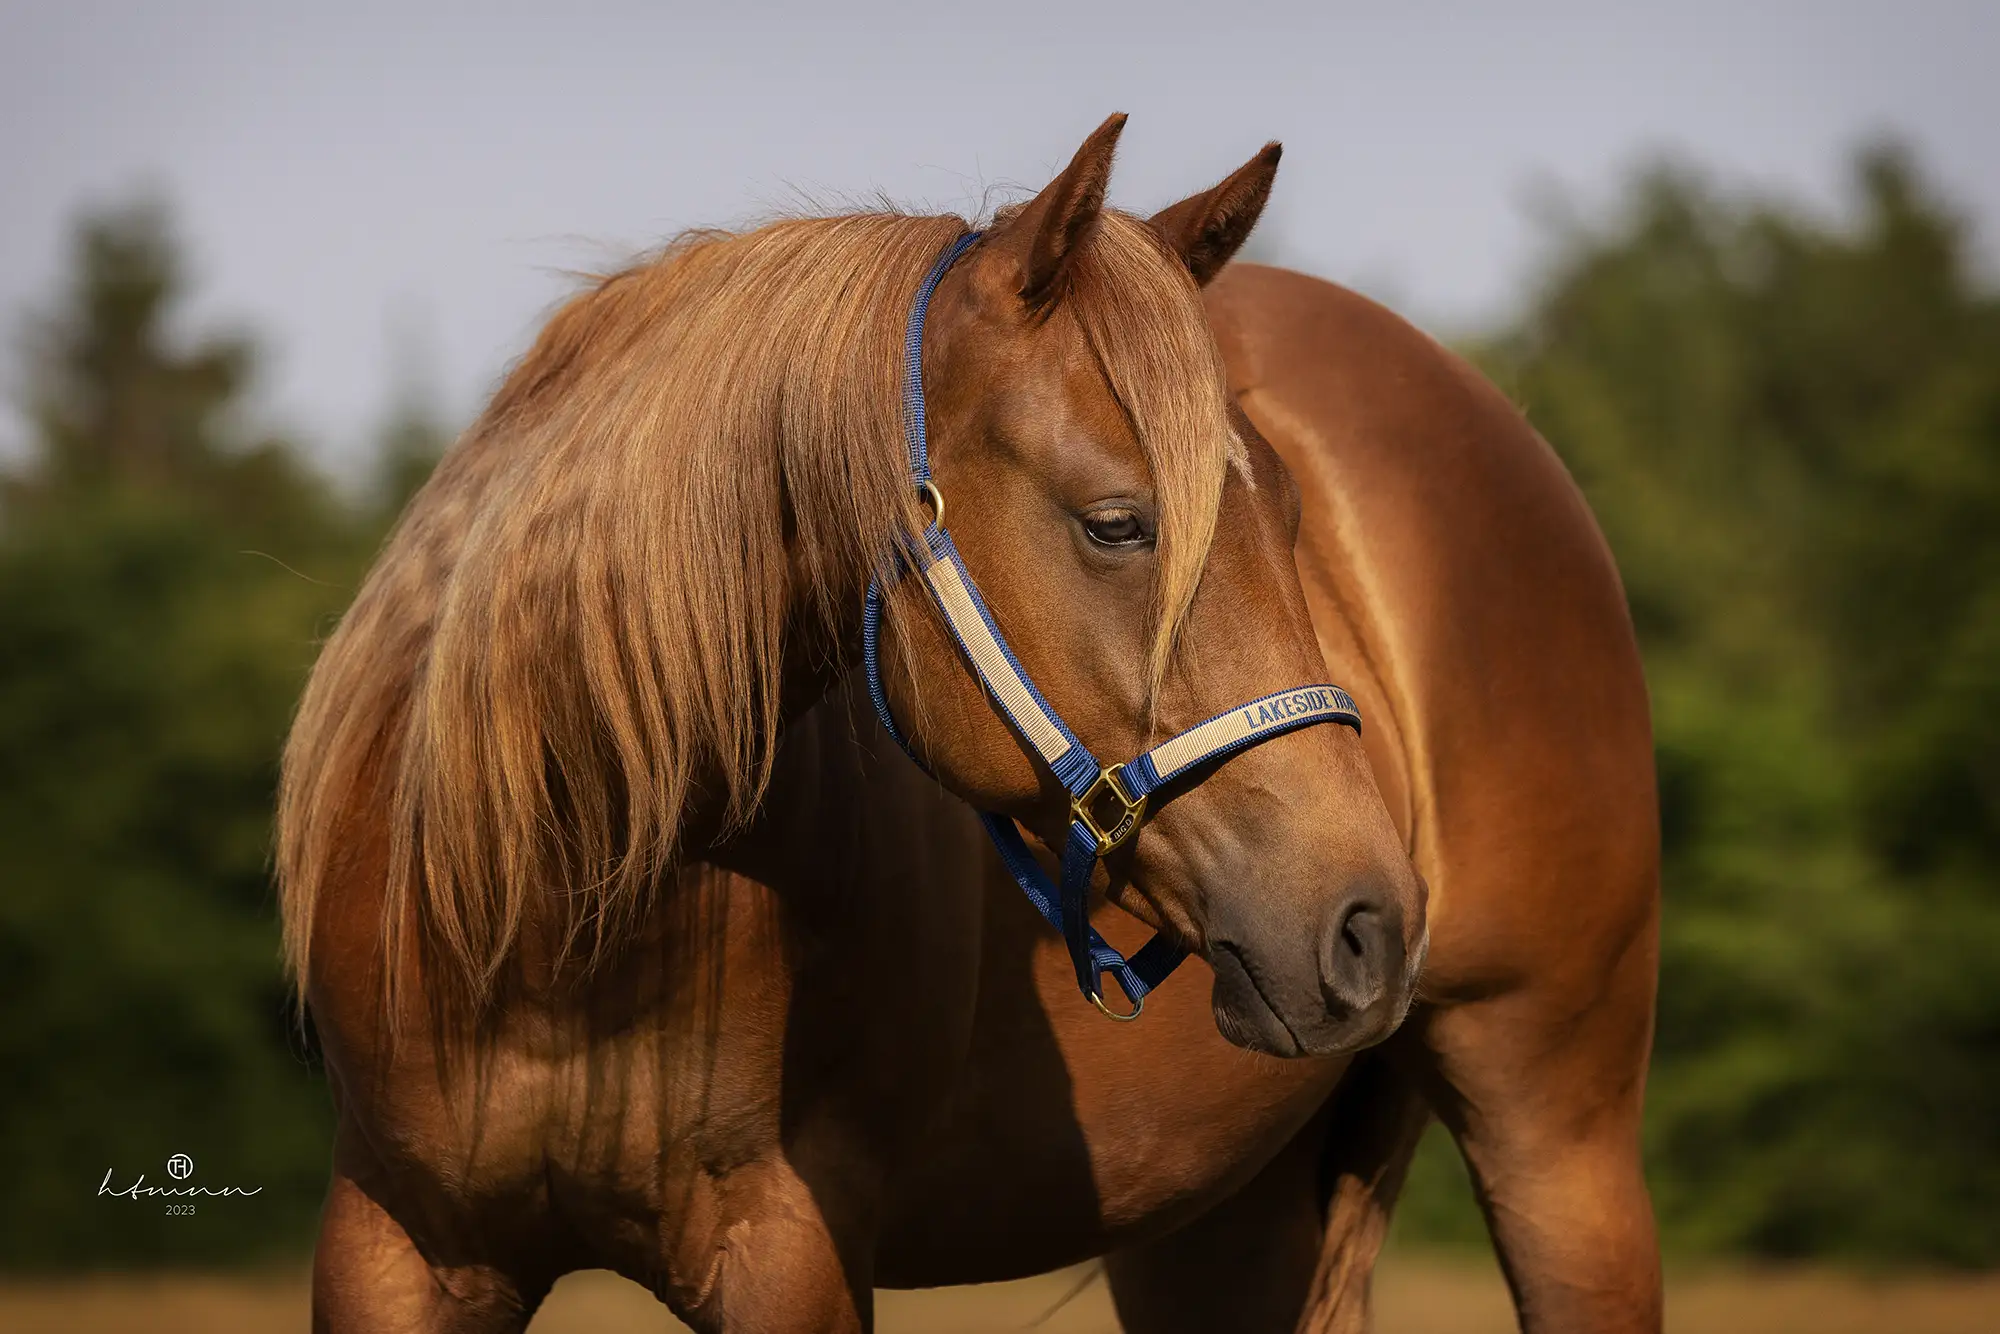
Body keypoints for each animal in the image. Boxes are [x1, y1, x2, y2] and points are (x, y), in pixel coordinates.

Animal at [278, 117, 1656, 1334]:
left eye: (1291, 514)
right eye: (1116, 523)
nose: (1370, 921)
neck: (557, 911)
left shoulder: (788, 1251)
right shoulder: (395, 1246)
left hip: (1556, 1136)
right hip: (1219, 1218)